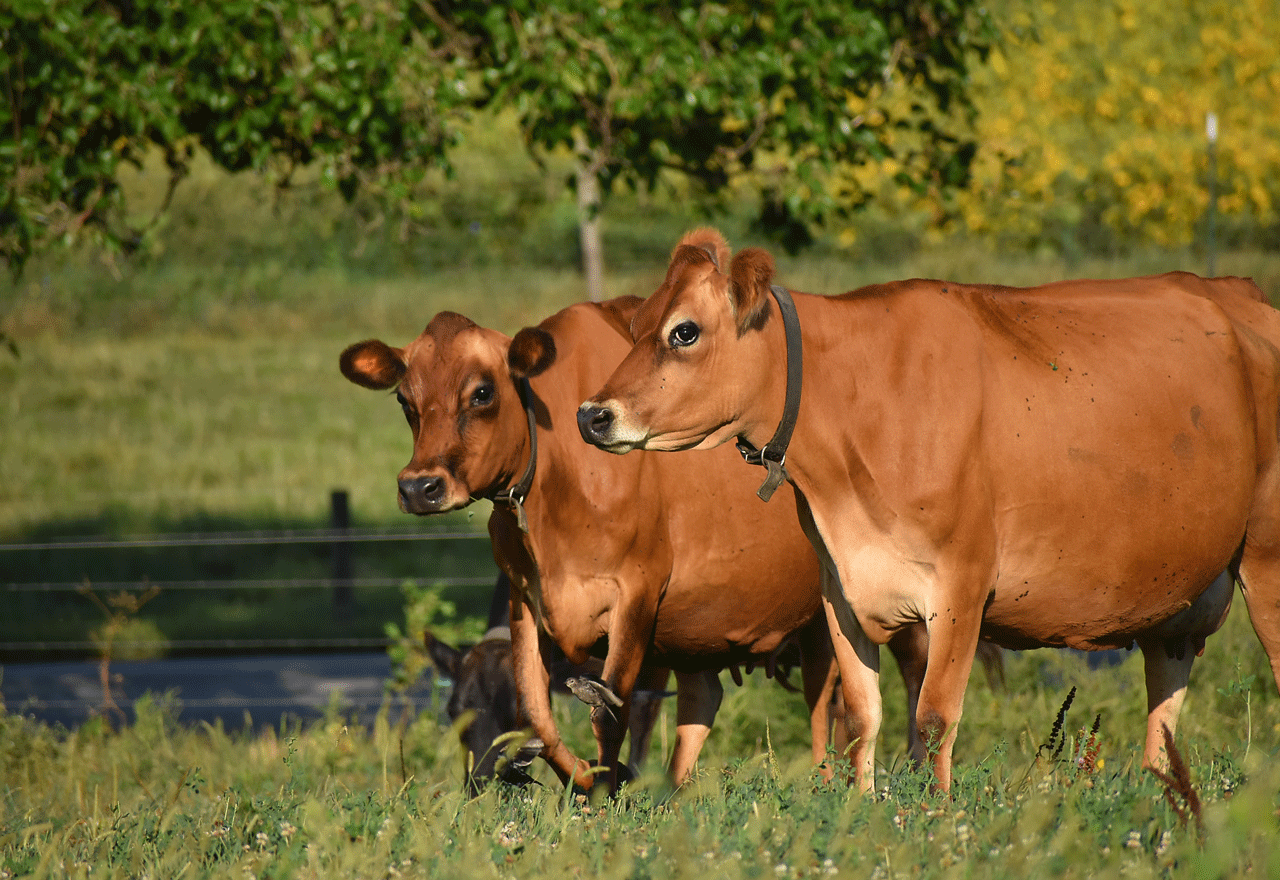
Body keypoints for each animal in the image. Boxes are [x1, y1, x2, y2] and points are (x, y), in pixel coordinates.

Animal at [586, 226, 1280, 793]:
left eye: (684, 331)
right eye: (639, 322)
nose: (591, 415)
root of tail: (1240, 292)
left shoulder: (962, 585)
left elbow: (935, 716)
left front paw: (937, 816)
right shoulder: (840, 586)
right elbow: (864, 716)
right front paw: (861, 810)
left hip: (1266, 557)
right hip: (1181, 595)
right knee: (1164, 699)